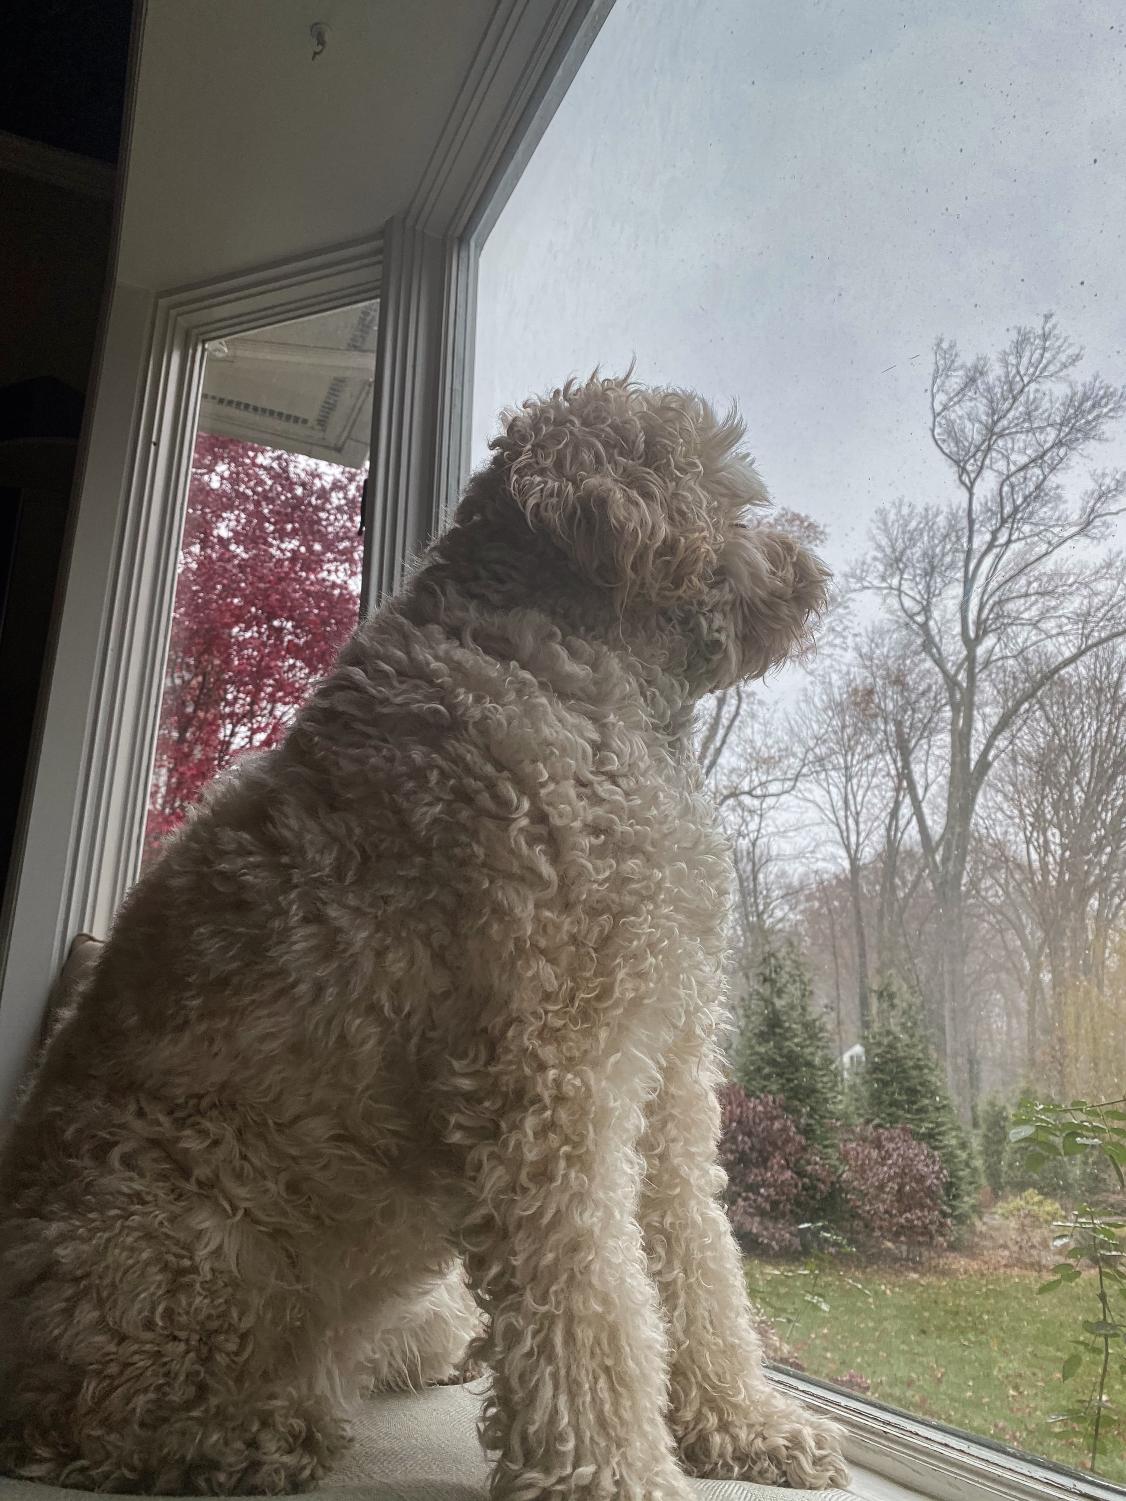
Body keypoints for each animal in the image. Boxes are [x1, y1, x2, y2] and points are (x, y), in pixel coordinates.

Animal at [0, 372, 846, 1488]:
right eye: (738, 499)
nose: (815, 572)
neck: (571, 669)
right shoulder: (545, 1077)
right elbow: (593, 1305)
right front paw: (612, 1473)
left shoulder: (664, 1069)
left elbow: (695, 1254)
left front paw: (744, 1421)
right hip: (184, 1239)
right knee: (86, 1416)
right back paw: (250, 1435)